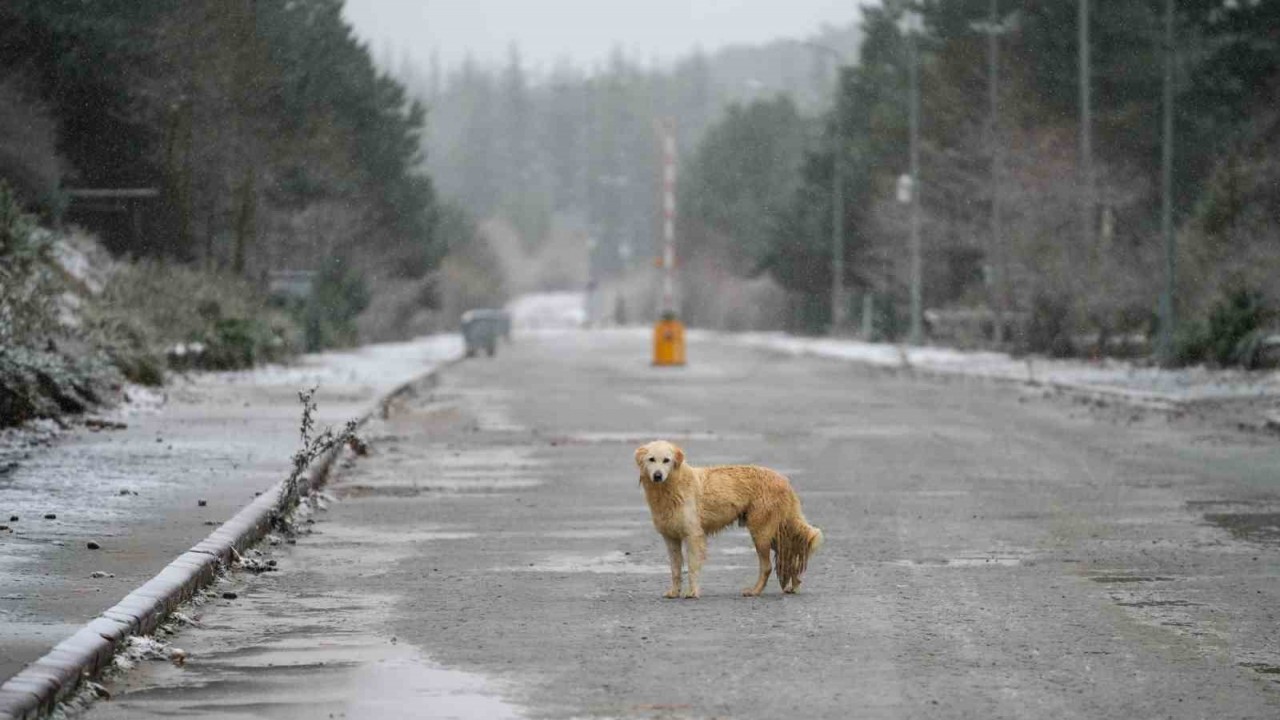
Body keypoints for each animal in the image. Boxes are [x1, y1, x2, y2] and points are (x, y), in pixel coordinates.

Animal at [634, 440, 824, 597]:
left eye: (666, 460)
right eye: (651, 459)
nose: (657, 475)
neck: (671, 487)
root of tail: (784, 480)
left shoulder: (693, 535)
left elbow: (693, 567)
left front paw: (693, 592)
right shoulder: (671, 538)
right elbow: (675, 569)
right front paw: (674, 592)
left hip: (761, 533)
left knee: (768, 566)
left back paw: (755, 591)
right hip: (772, 534)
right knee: (792, 552)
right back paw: (794, 586)